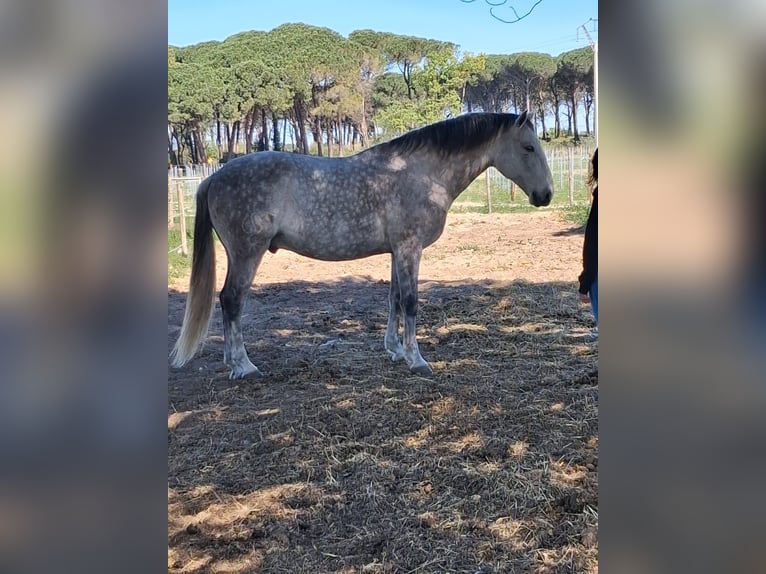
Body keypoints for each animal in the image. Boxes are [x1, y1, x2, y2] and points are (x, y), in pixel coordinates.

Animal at [170, 111, 554, 379]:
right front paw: (417, 360)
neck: (422, 173)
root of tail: (212, 178)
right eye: (529, 147)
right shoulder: (410, 248)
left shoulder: (397, 251)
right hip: (247, 254)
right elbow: (411, 302)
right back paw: (243, 366)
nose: (546, 195)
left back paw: (231, 361)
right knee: (231, 300)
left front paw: (395, 350)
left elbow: (394, 299)